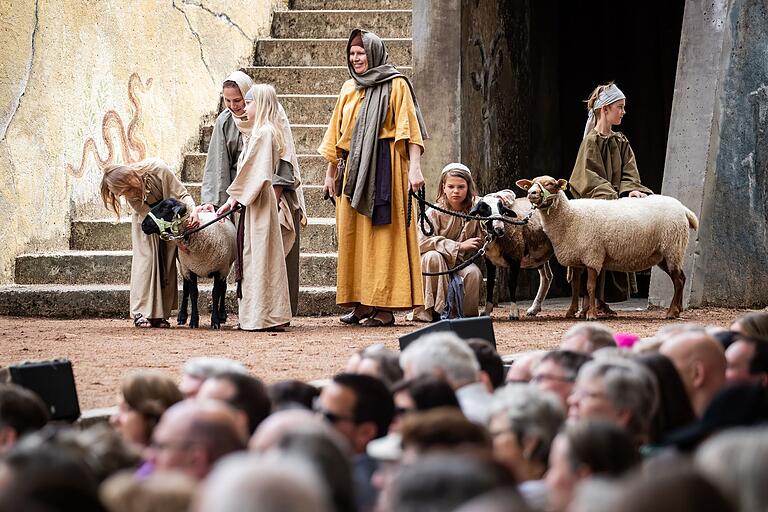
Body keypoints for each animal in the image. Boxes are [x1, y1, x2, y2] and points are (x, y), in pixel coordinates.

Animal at [141, 198, 236, 330]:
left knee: (224, 287)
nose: (143, 225)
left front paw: (215, 320)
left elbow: (216, 293)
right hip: (182, 266)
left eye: (164, 208)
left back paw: (222, 314)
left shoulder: (220, 269)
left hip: (227, 266)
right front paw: (193, 321)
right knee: (186, 289)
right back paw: (182, 316)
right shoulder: (189, 269)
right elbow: (193, 293)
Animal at [520, 176, 700, 320]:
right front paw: (571, 312)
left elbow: (590, 287)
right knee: (681, 278)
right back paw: (678, 310)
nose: (531, 193)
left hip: (673, 248)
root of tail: (684, 209)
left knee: (678, 280)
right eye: (532, 183)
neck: (569, 216)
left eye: (550, 184)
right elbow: (576, 287)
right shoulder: (577, 257)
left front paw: (591, 315)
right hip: (664, 254)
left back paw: (672, 312)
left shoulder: (593, 255)